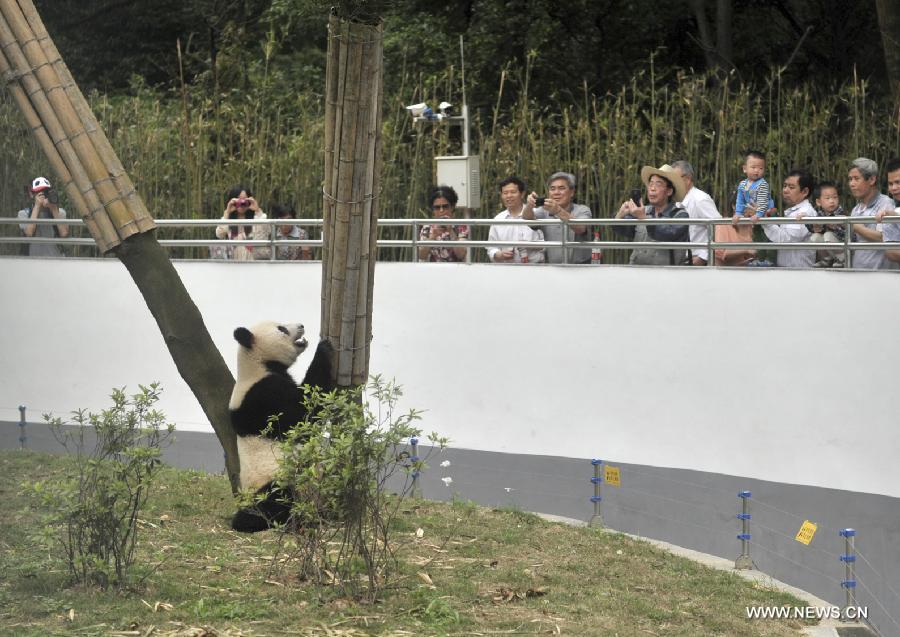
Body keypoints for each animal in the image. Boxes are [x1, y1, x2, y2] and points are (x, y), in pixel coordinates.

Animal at [229, 320, 335, 533]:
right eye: (282, 329)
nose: (301, 325)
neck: (258, 364)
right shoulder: (266, 396)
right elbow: (304, 412)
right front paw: (323, 348)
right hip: (273, 480)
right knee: (275, 500)